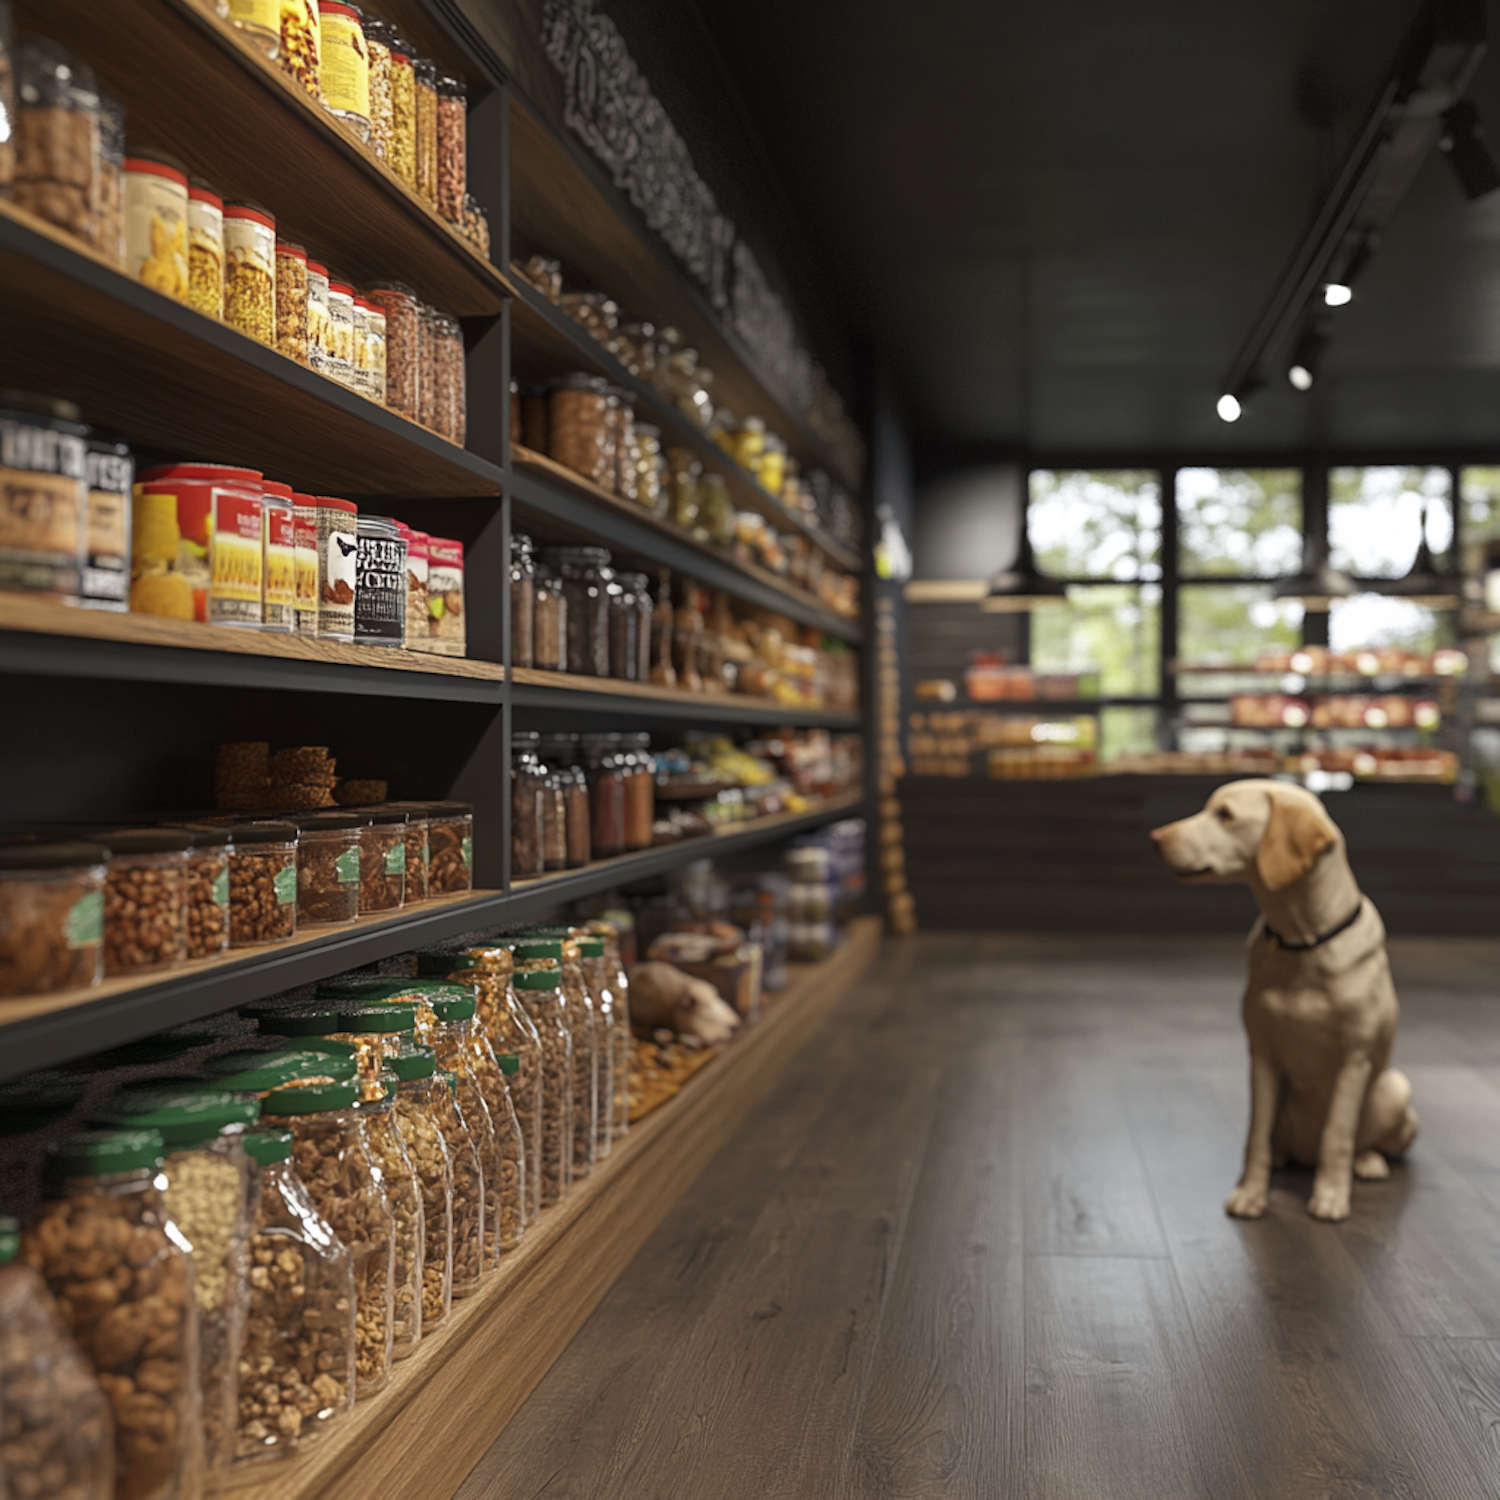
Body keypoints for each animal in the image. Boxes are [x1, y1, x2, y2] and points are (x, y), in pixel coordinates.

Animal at [1146, 780, 1416, 1224]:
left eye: (1225, 815)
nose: (1154, 838)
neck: (1301, 940)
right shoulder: (1262, 1055)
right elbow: (1256, 1133)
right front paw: (1251, 1193)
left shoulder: (1354, 1061)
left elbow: (1338, 1136)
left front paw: (1331, 1196)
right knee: (1278, 1142)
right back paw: (1281, 1158)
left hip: (1395, 1088)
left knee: (1362, 1142)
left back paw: (1368, 1161)